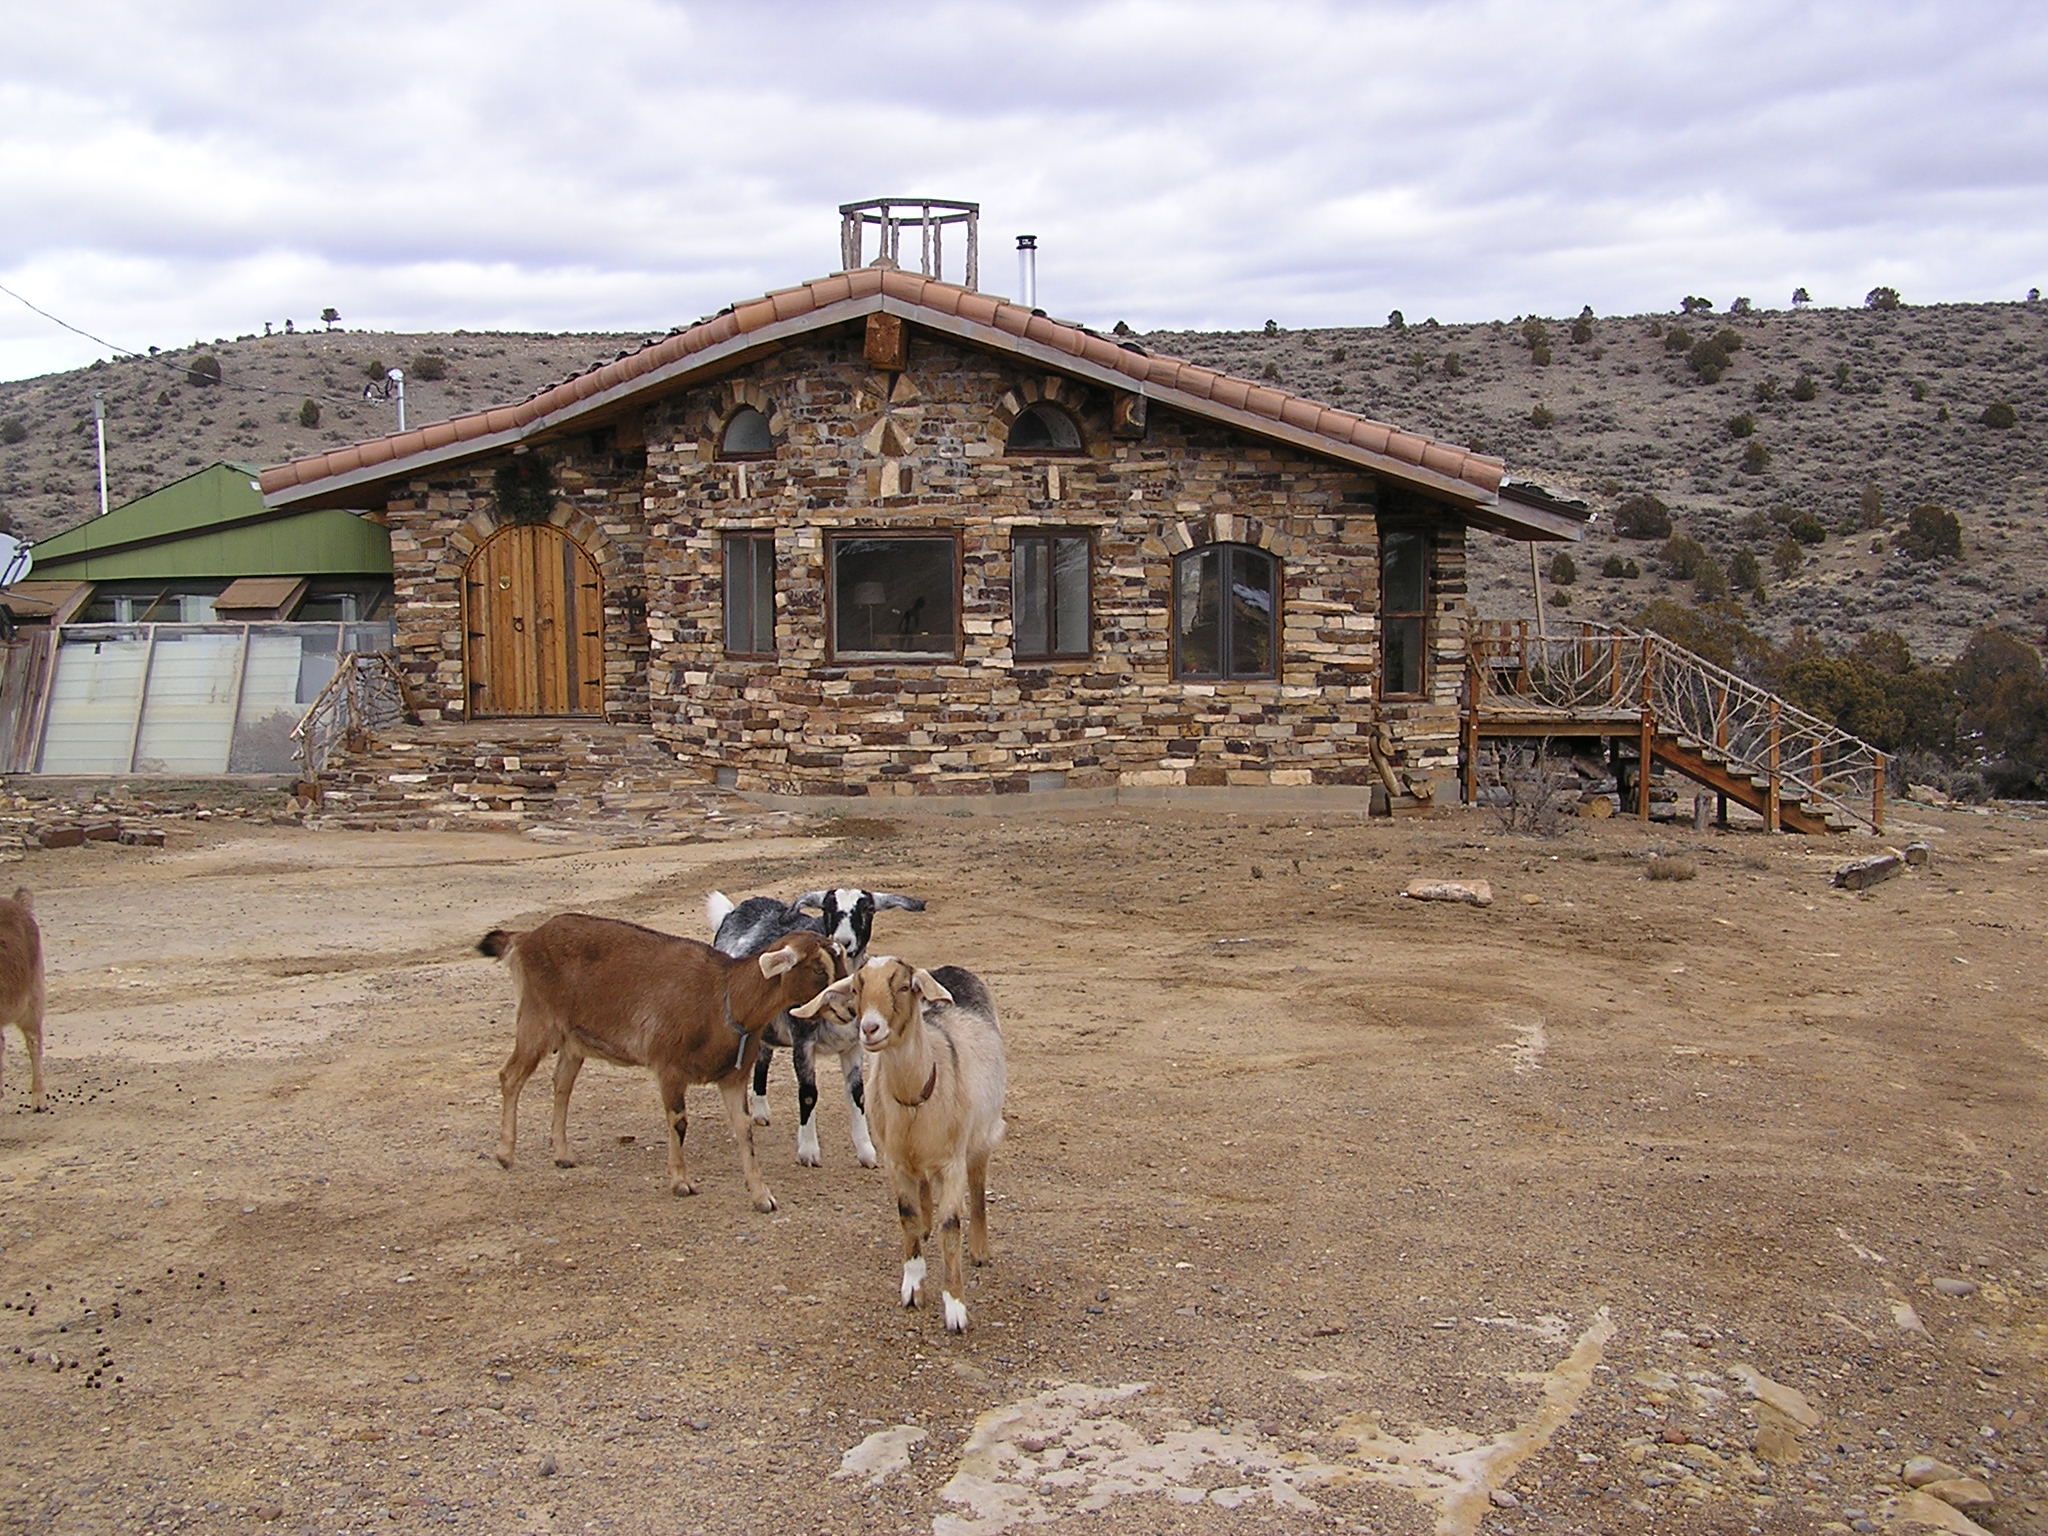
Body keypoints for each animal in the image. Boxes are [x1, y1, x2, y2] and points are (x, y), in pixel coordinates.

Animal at [478, 914, 843, 1212]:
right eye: (818, 968)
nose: (846, 1007)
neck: (725, 1000)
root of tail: (525, 938)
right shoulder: (669, 1068)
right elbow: (679, 1122)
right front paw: (681, 1182)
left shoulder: (733, 1076)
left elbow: (745, 1130)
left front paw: (761, 1196)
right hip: (537, 1021)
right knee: (511, 1076)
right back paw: (505, 1154)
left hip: (572, 1041)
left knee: (562, 1087)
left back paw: (563, 1155)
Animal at [704, 887, 925, 1167]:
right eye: (827, 909)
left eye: (868, 909)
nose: (844, 942)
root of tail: (733, 912)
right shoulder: (803, 1043)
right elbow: (809, 1093)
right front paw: (808, 1151)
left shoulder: (852, 1047)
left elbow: (857, 1095)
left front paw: (867, 1153)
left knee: (763, 1058)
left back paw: (761, 1111)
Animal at [792, 956, 1005, 1333]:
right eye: (856, 988)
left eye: (905, 986)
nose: (870, 1028)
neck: (915, 1097)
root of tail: (951, 968)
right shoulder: (894, 1161)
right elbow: (907, 1215)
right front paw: (913, 1288)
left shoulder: (952, 1162)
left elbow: (952, 1224)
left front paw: (955, 1308)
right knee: (924, 1191)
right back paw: (927, 1225)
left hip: (983, 1131)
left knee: (978, 1183)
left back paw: (980, 1249)